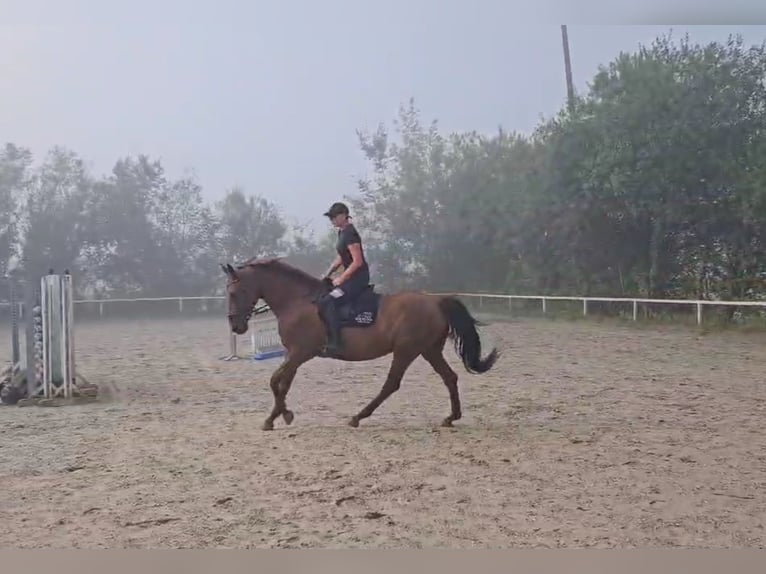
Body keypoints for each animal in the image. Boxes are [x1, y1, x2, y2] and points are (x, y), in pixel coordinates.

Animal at [219, 258, 500, 432]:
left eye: (233, 293)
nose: (236, 326)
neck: (298, 301)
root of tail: (436, 301)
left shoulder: (300, 353)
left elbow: (278, 382)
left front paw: (275, 418)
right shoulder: (293, 354)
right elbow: (280, 383)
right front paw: (282, 415)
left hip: (407, 351)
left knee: (391, 384)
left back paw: (358, 416)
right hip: (429, 350)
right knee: (450, 377)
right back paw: (451, 417)